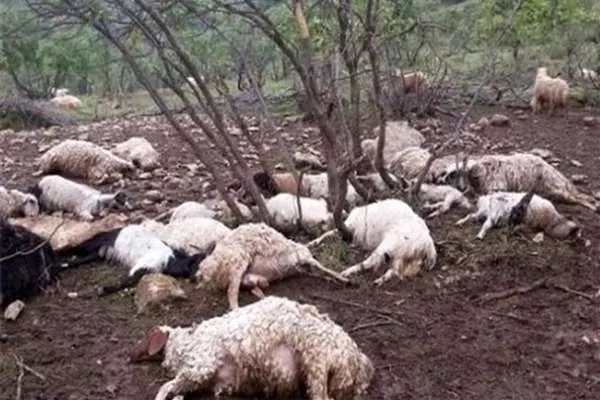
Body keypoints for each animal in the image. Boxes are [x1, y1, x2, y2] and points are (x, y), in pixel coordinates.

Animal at [57, 224, 207, 296]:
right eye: (199, 264)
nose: (198, 278)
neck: (170, 259)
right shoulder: (141, 265)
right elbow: (126, 281)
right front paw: (103, 289)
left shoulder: (147, 270)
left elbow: (129, 282)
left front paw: (104, 289)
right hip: (93, 243)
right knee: (72, 248)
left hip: (97, 254)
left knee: (75, 260)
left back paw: (60, 266)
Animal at [129, 296, 374, 400]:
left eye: (145, 339)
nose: (129, 356)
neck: (187, 341)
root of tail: (358, 363)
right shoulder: (215, 382)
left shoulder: (200, 365)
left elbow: (164, 388)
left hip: (316, 360)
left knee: (321, 398)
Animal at [195, 223, 350, 310]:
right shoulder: (303, 256)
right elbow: (322, 266)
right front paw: (344, 278)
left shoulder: (303, 261)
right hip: (238, 262)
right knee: (232, 294)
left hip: (244, 273)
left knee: (249, 287)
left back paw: (263, 295)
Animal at [438, 153, 598, 212]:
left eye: (453, 174)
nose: (440, 180)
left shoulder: (497, 188)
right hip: (555, 191)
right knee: (580, 196)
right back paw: (595, 202)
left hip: (556, 189)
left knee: (578, 198)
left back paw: (594, 206)